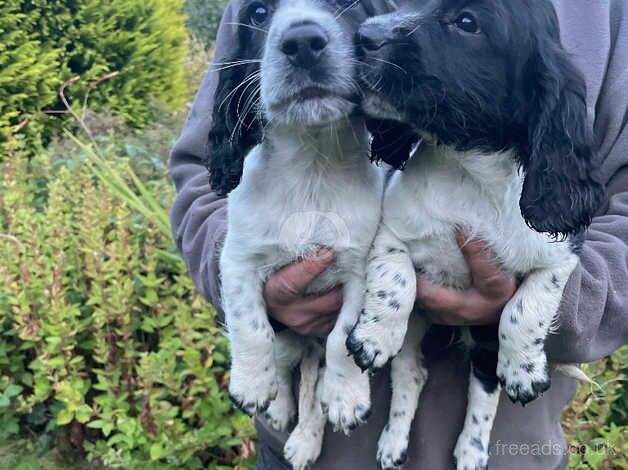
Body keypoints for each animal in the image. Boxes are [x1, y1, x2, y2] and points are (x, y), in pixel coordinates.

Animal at [346, 0, 604, 468]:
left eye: (467, 23)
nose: (364, 35)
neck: (468, 175)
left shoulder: (560, 254)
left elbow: (527, 308)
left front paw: (524, 370)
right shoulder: (391, 230)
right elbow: (395, 280)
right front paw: (374, 335)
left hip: (484, 340)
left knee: (484, 388)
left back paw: (472, 449)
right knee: (410, 374)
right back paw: (394, 441)